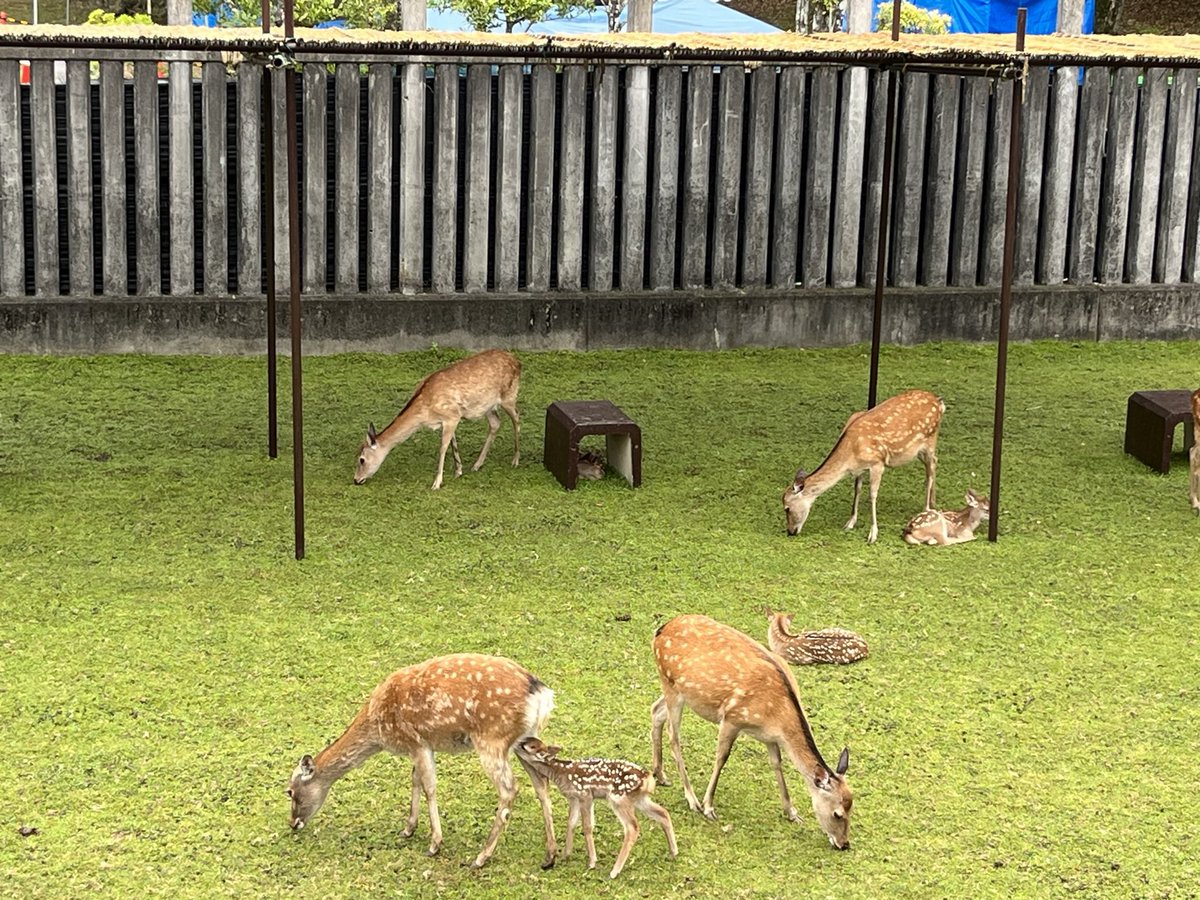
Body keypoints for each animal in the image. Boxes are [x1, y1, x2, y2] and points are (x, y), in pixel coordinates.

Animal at [286, 654, 559, 870]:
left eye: (290, 791)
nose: (293, 823)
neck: (378, 728)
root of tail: (542, 694)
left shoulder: (416, 741)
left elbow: (429, 786)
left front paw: (434, 844)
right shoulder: (421, 746)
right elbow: (415, 779)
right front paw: (408, 829)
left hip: (492, 739)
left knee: (510, 789)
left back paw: (481, 857)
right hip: (525, 740)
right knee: (541, 784)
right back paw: (550, 855)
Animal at [354, 349, 521, 490]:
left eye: (361, 459)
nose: (356, 480)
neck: (425, 412)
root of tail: (517, 362)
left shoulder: (452, 416)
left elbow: (442, 448)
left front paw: (436, 483)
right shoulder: (449, 419)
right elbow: (453, 443)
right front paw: (458, 471)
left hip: (509, 396)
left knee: (517, 419)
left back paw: (515, 460)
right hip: (488, 406)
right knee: (495, 422)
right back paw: (477, 465)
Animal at [515, 737, 678, 879]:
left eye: (532, 746)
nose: (518, 742)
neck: (561, 773)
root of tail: (648, 780)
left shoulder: (585, 794)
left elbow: (587, 826)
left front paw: (592, 862)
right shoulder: (574, 798)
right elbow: (571, 823)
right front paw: (565, 855)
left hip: (618, 798)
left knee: (632, 827)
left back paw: (614, 872)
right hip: (639, 799)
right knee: (663, 813)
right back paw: (673, 852)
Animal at [650, 615, 853, 850]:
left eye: (852, 806)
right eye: (838, 813)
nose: (844, 844)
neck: (777, 714)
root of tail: (661, 630)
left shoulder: (770, 737)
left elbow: (777, 763)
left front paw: (791, 812)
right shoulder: (732, 718)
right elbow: (721, 758)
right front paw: (709, 807)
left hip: (675, 690)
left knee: (655, 711)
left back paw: (660, 774)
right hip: (671, 684)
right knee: (674, 737)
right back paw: (692, 799)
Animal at [783, 389, 944, 544]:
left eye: (787, 508)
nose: (790, 532)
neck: (851, 453)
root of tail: (939, 402)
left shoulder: (877, 463)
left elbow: (872, 495)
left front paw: (873, 534)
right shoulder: (859, 469)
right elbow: (857, 489)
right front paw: (850, 523)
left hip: (930, 440)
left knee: (930, 469)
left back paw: (926, 508)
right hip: (918, 451)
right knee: (934, 463)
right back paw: (933, 502)